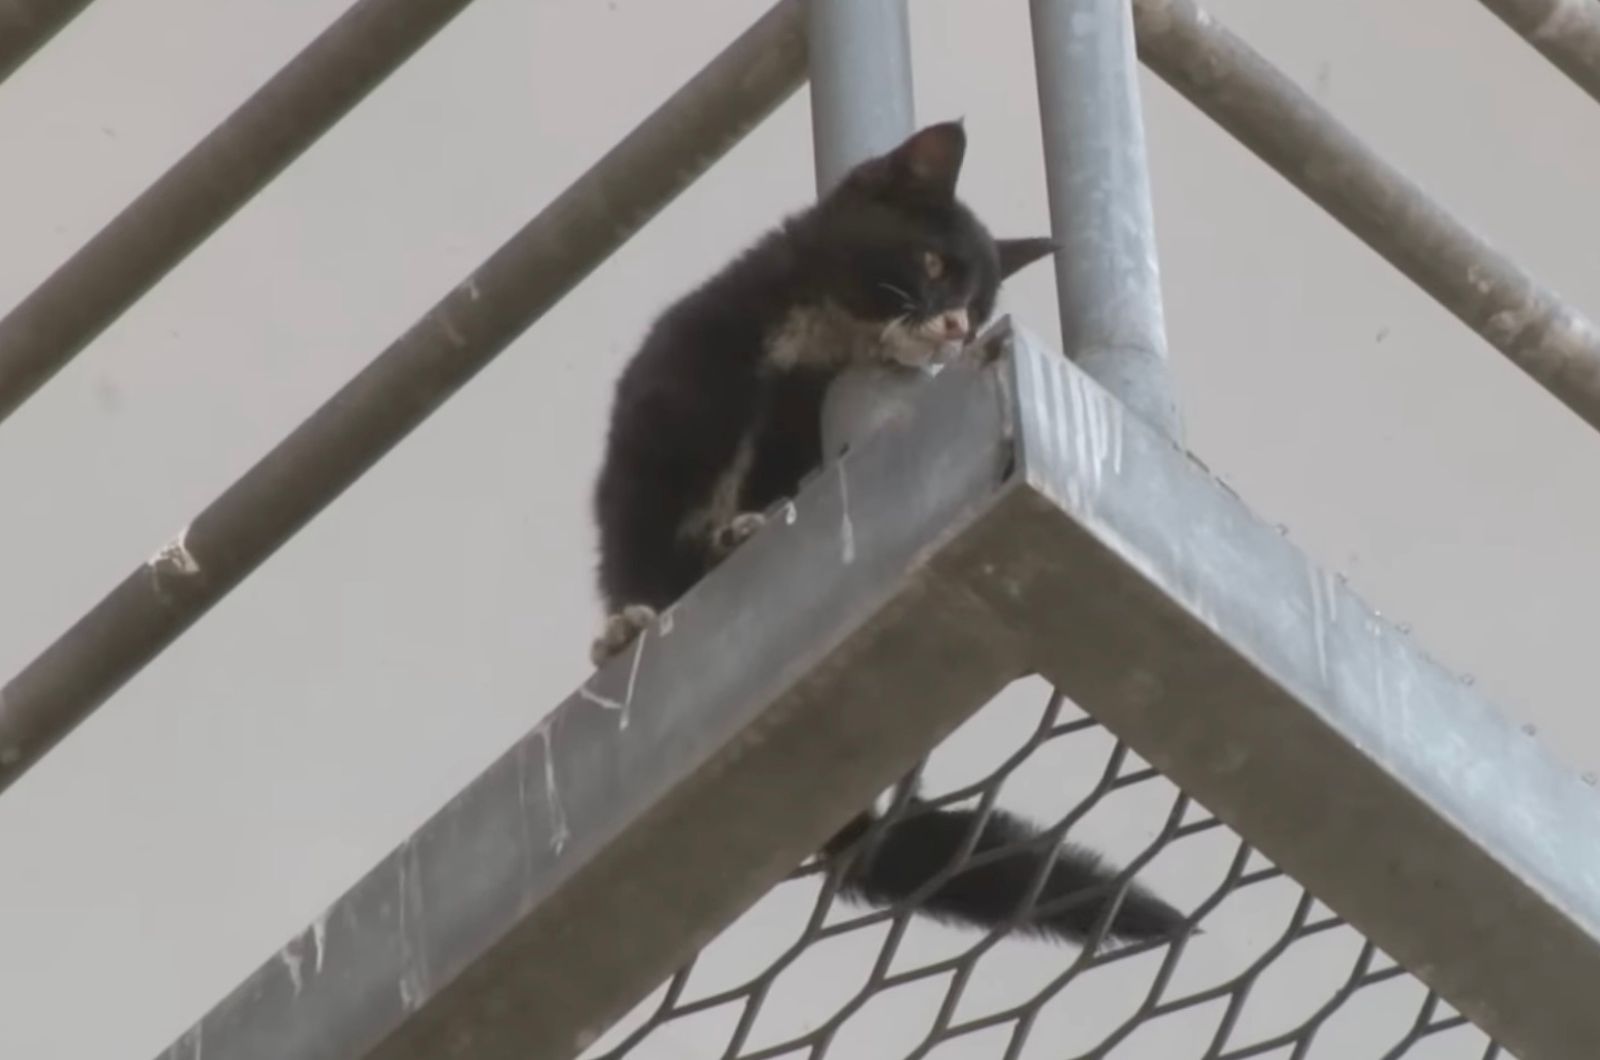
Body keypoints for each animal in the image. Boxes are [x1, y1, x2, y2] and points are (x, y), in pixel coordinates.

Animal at [592, 122, 1190, 947]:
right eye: (934, 264)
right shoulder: (658, 424)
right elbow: (634, 541)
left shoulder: (801, 437)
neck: (803, 349)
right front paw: (629, 624)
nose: (957, 326)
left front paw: (743, 528)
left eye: (979, 303)